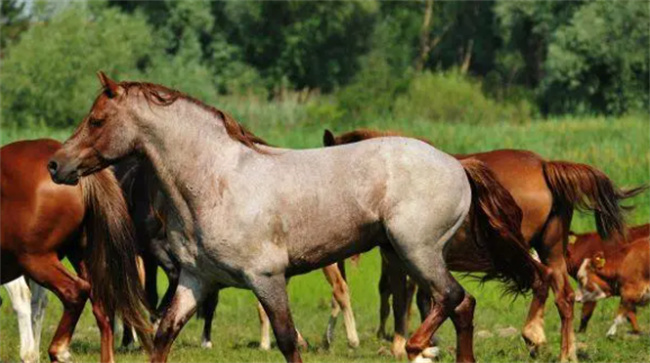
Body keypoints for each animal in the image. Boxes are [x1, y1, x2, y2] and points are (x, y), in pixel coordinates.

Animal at [320, 129, 644, 362]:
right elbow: (423, 297)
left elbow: (403, 296)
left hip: (521, 248)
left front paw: (406, 344)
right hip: (550, 248)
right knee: (562, 295)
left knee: (540, 281)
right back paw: (566, 353)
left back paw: (534, 334)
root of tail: (544, 166)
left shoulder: (403, 259)